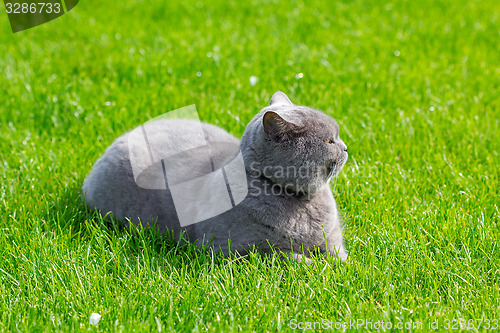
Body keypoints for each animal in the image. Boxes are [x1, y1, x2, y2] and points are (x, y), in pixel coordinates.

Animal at [82, 92, 348, 260]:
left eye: (337, 136)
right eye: (329, 141)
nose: (346, 147)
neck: (299, 203)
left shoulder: (333, 242)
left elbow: (341, 259)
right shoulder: (234, 249)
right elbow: (285, 257)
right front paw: (312, 265)